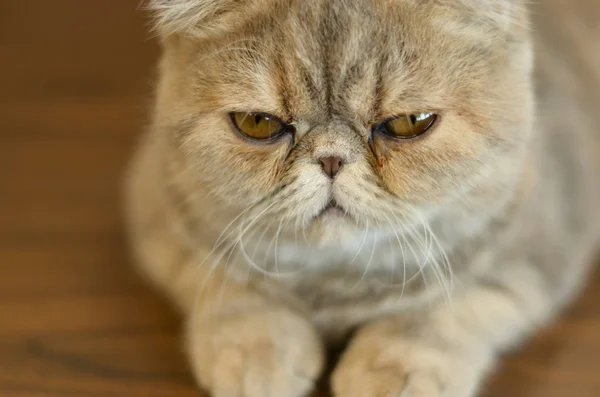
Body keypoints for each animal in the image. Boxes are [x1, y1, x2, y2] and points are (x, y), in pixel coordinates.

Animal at [123, 0, 600, 396]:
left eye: (411, 122)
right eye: (257, 122)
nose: (331, 159)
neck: (336, 280)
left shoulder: (546, 237)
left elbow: (450, 303)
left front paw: (396, 367)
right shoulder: (158, 206)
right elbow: (229, 282)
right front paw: (255, 350)